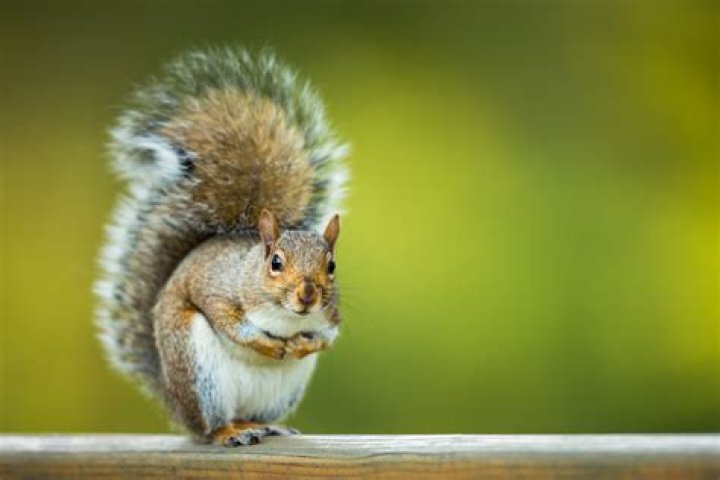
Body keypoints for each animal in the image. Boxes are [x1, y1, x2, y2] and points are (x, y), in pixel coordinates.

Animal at [94, 47, 348, 446]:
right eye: (276, 263)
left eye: (332, 266)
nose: (308, 296)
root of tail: (173, 399)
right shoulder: (217, 288)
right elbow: (229, 321)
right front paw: (268, 344)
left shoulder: (331, 314)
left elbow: (327, 335)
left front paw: (302, 345)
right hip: (198, 371)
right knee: (209, 426)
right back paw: (228, 432)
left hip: (278, 392)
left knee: (249, 415)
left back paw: (263, 426)